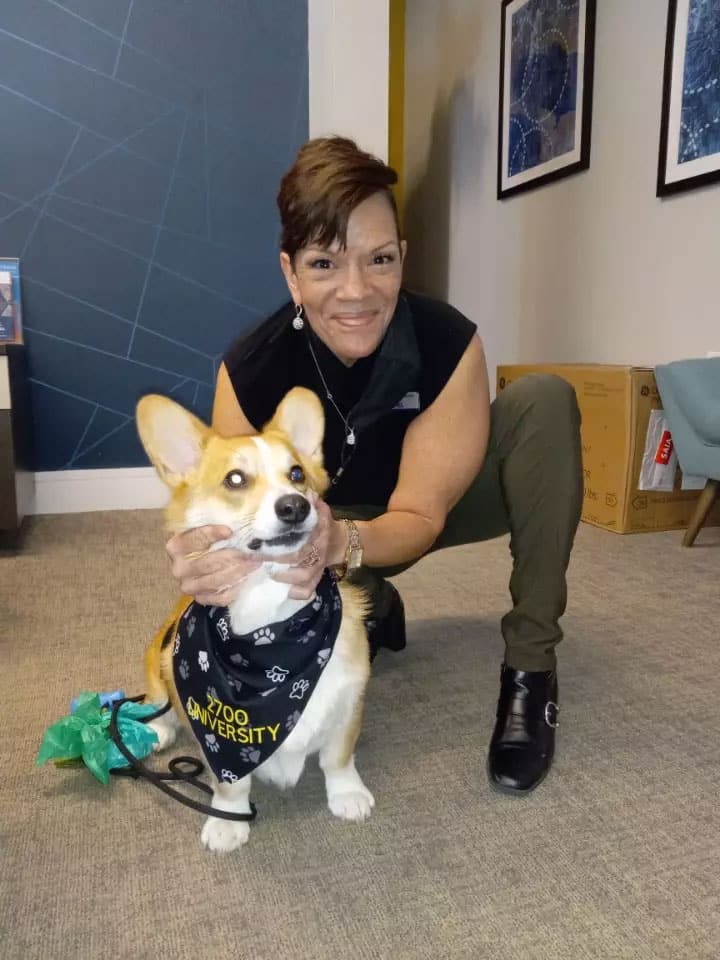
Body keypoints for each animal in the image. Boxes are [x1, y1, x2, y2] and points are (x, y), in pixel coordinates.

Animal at [136, 386, 372, 852]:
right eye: (235, 479)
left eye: (296, 474)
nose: (294, 507)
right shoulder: (214, 740)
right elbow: (231, 786)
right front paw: (228, 823)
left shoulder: (348, 704)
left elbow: (338, 758)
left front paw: (348, 795)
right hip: (160, 652)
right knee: (158, 700)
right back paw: (156, 729)